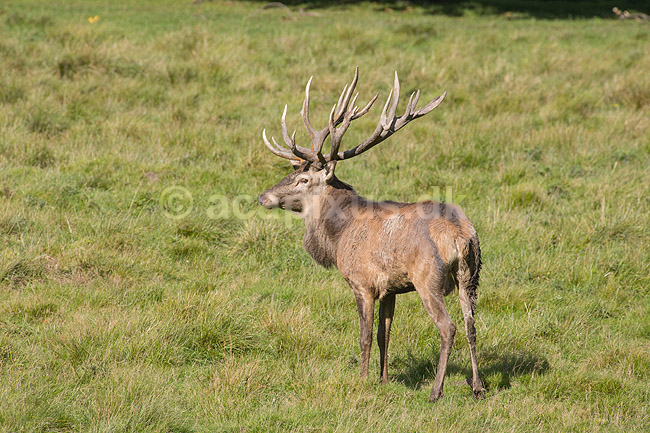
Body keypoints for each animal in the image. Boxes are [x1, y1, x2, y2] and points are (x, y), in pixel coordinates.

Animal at [257, 68, 485, 401]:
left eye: (303, 179)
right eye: (292, 172)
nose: (263, 197)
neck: (338, 235)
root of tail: (459, 235)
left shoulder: (362, 282)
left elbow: (364, 335)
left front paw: (363, 380)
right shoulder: (390, 288)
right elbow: (383, 334)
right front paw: (383, 379)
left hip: (428, 277)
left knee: (449, 327)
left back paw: (436, 391)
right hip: (470, 274)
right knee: (471, 325)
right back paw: (478, 386)